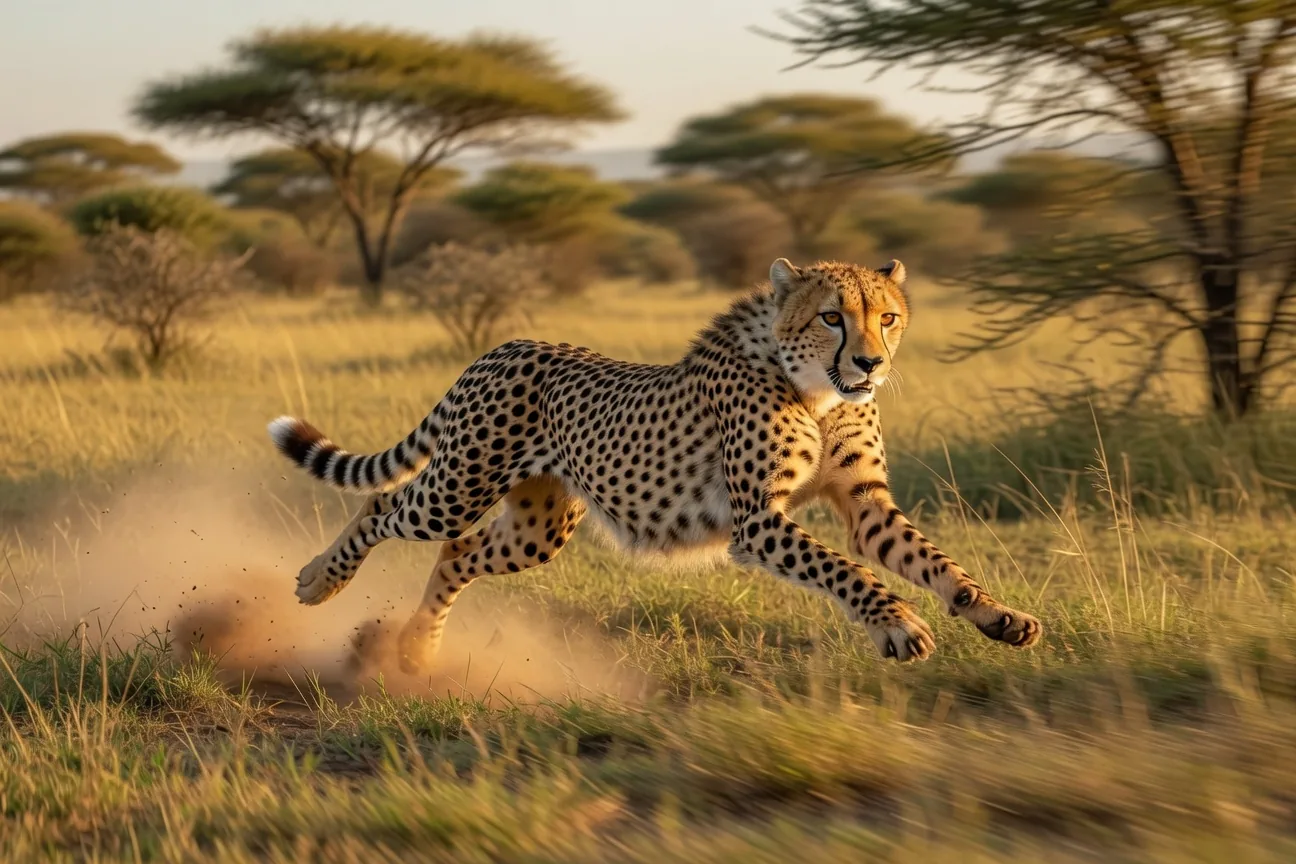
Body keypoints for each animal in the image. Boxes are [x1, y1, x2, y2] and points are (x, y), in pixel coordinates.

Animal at [267, 257, 1042, 674]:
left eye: (887, 317)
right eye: (832, 317)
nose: (871, 364)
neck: (816, 390)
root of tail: (505, 344)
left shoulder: (865, 503)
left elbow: (932, 560)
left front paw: (998, 615)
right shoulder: (758, 523)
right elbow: (846, 569)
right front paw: (899, 625)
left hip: (538, 528)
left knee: (458, 552)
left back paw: (417, 650)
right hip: (461, 483)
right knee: (383, 507)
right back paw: (319, 583)